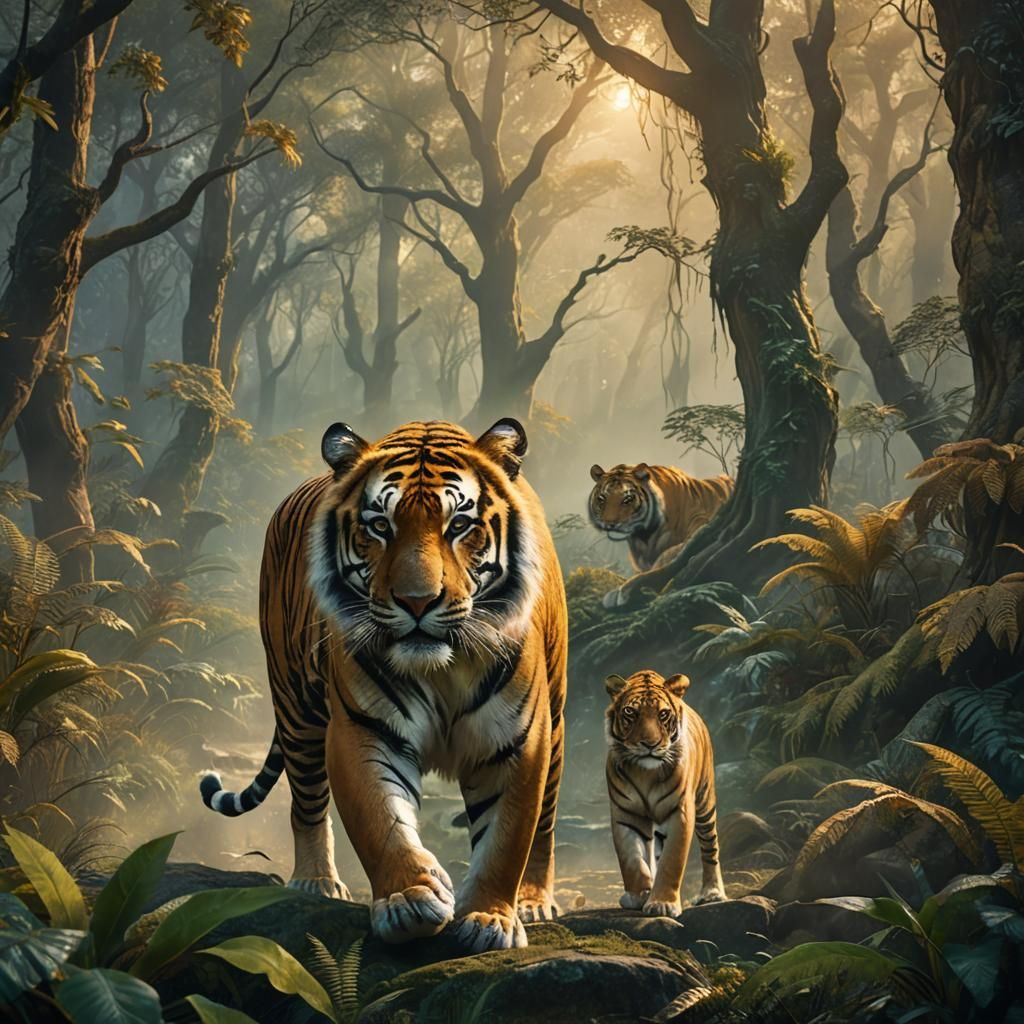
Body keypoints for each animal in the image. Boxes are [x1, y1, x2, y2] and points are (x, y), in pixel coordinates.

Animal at [199, 419, 567, 953]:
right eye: (379, 526)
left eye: (460, 525)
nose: (417, 601)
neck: (443, 669)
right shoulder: (363, 728)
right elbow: (381, 820)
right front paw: (410, 899)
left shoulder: (518, 738)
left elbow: (508, 835)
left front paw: (488, 919)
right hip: (295, 707)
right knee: (306, 803)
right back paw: (315, 881)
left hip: (556, 725)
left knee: (545, 822)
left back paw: (534, 902)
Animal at [588, 464, 733, 609]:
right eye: (601, 499)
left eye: (627, 499)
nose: (610, 523)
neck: (645, 537)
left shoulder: (702, 524)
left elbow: (669, 554)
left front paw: (626, 590)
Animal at [605, 669, 726, 916]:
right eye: (630, 712)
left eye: (663, 714)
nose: (649, 744)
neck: (645, 773)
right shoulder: (626, 815)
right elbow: (632, 860)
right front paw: (638, 896)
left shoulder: (681, 812)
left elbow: (672, 861)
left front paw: (662, 904)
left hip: (705, 803)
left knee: (711, 848)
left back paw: (713, 893)